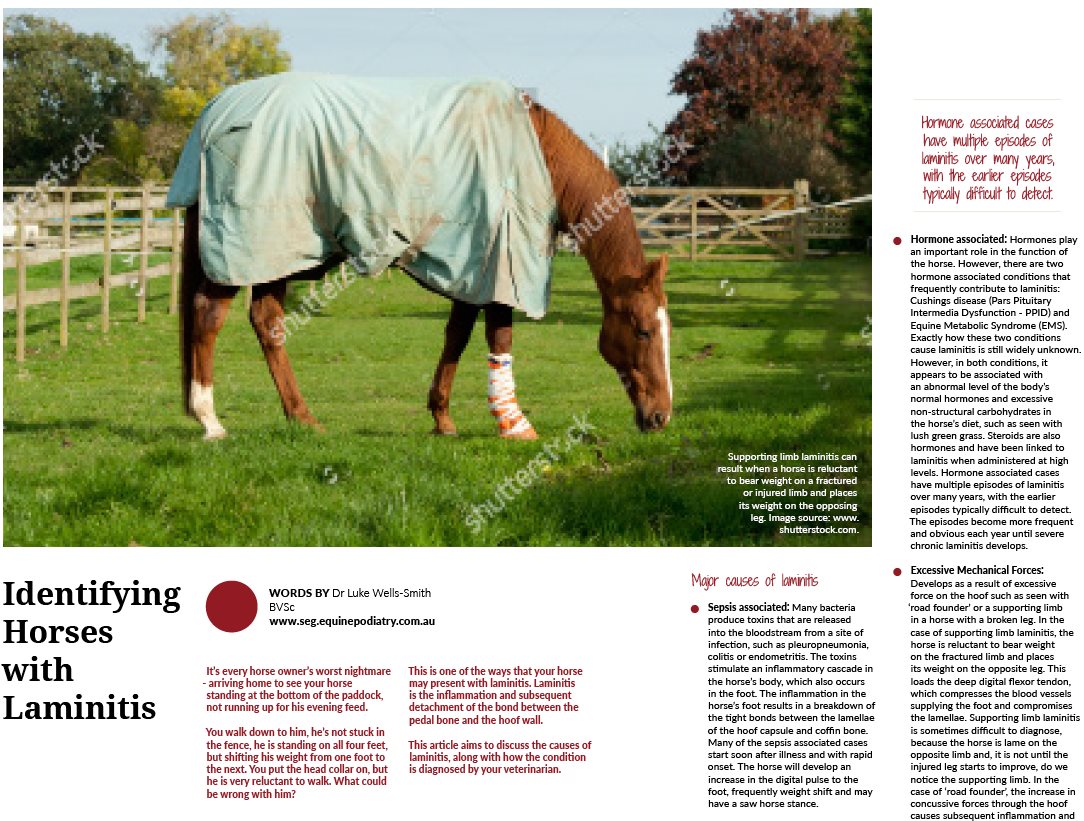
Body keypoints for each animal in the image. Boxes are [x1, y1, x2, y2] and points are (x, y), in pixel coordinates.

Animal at [175, 76, 672, 441]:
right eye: (644, 331)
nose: (662, 416)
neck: (539, 157)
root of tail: (215, 113)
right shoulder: (501, 266)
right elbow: (499, 338)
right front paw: (515, 425)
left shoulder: (473, 269)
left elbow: (457, 337)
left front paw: (443, 418)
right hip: (252, 246)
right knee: (210, 315)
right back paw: (211, 420)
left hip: (279, 256)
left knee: (266, 321)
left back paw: (300, 416)